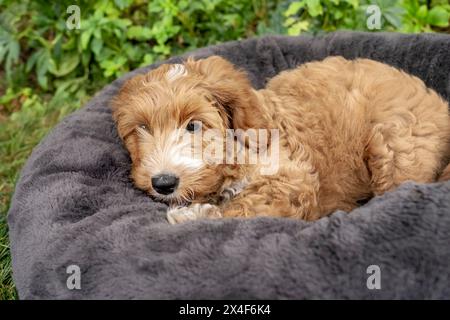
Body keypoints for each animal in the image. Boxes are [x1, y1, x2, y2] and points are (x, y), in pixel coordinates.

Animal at [111, 55, 450, 222]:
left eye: (193, 126)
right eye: (142, 129)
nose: (163, 183)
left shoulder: (293, 179)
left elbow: (247, 207)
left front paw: (194, 217)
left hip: (395, 144)